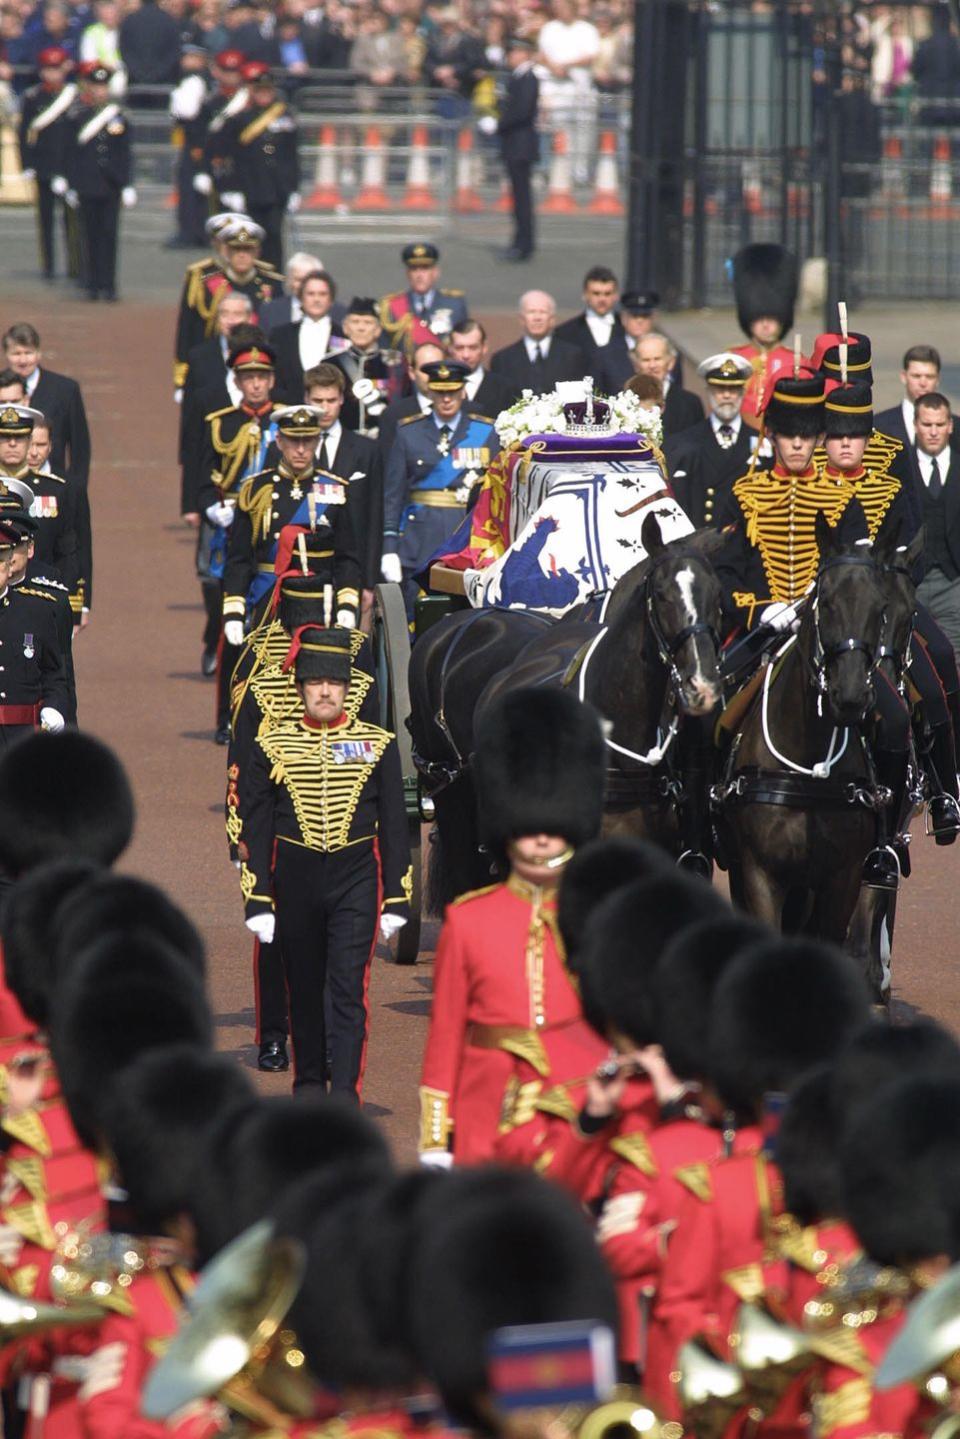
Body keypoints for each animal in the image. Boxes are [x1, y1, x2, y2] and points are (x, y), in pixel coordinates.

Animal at [713, 509, 915, 955]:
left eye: (881, 607)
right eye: (827, 600)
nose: (851, 695)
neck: (808, 768)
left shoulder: (842, 880)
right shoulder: (760, 873)